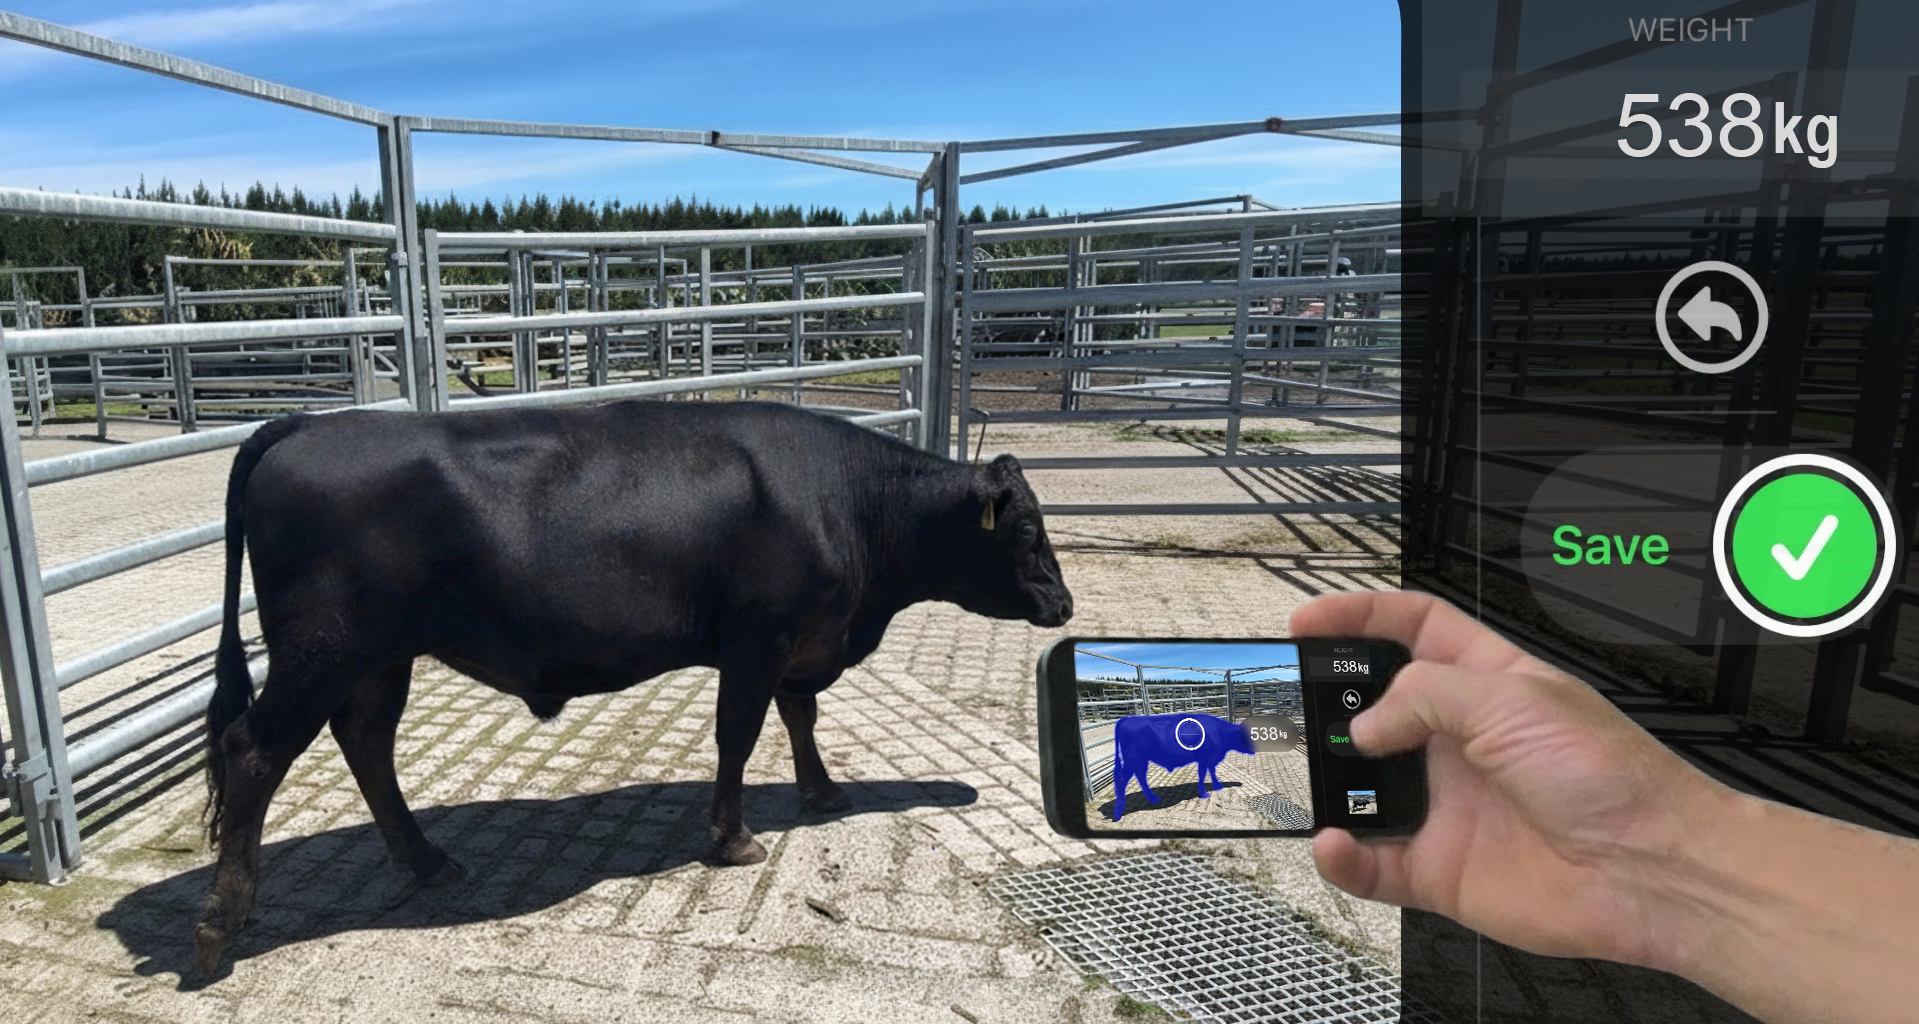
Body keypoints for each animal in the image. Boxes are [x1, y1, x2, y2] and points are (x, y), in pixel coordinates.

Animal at [194, 399, 1073, 975]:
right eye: (1027, 530)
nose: (1064, 605)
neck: (849, 502)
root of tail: (307, 424)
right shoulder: (757, 639)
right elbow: (739, 734)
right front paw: (733, 837)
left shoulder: (802, 642)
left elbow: (801, 713)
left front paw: (822, 792)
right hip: (323, 654)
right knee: (253, 753)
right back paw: (223, 923)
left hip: (379, 658)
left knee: (367, 743)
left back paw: (426, 860)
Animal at [1108, 712, 1253, 821]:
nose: (1254, 750)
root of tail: (1128, 719)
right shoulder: (1204, 757)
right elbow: (1203, 773)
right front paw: (1204, 793)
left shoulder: (1210, 758)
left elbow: (1212, 770)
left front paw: (1217, 785)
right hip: (1133, 759)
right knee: (1122, 778)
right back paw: (1118, 812)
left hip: (1142, 760)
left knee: (1141, 776)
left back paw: (1153, 798)